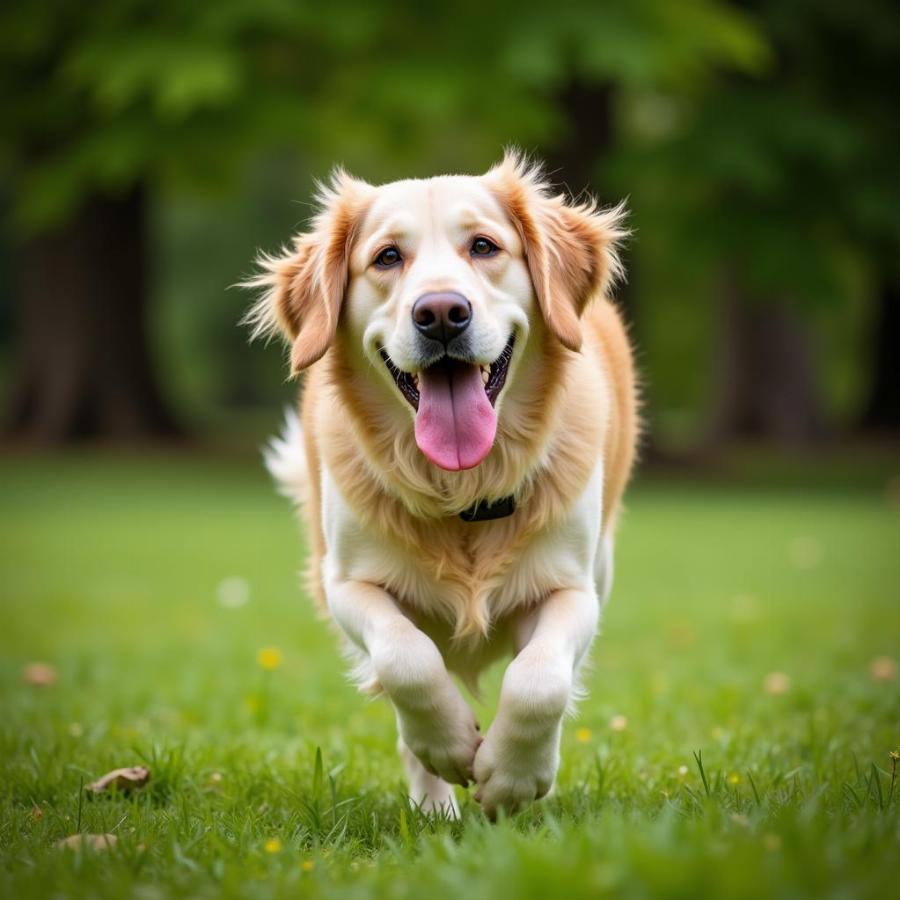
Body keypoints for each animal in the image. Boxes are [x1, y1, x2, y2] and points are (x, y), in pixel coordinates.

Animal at [246, 153, 636, 816]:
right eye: (386, 257)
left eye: (483, 246)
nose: (441, 314)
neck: (465, 489)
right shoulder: (346, 583)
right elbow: (407, 660)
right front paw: (452, 746)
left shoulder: (574, 588)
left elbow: (540, 681)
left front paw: (514, 777)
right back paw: (433, 804)